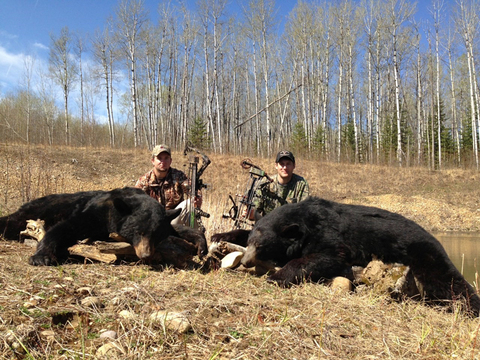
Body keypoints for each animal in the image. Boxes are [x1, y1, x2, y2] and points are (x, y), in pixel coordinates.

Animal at [242, 195, 480, 316]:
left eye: (260, 246)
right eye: (250, 242)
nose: (245, 261)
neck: (305, 222)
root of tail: (436, 238)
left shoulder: (329, 235)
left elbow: (327, 257)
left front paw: (277, 276)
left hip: (424, 254)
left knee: (448, 281)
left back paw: (471, 307)